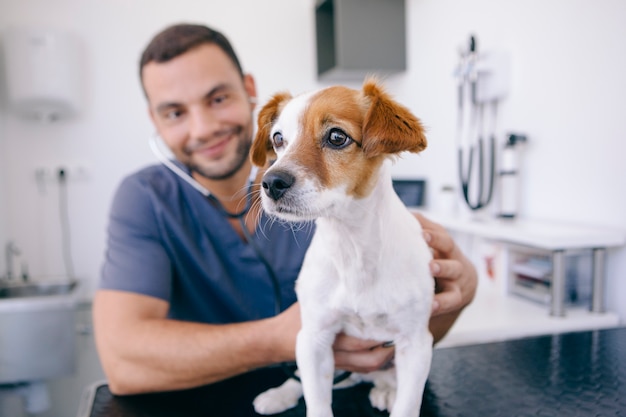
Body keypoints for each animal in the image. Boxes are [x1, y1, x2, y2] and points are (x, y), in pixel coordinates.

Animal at [249, 79, 434, 416]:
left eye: (337, 137)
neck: (351, 245)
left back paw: (385, 389)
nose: (270, 183)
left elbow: (407, 405)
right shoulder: (314, 337)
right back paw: (280, 394)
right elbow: (317, 402)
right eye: (278, 139)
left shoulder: (415, 344)